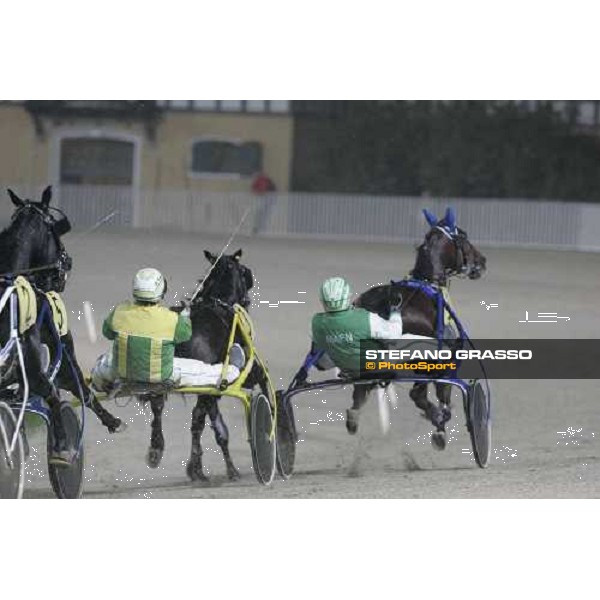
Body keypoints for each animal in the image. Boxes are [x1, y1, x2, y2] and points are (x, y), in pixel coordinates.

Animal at [354, 209, 486, 448]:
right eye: (463, 235)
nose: (482, 260)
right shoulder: (447, 356)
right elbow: (443, 392)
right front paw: (441, 424)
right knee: (418, 394)